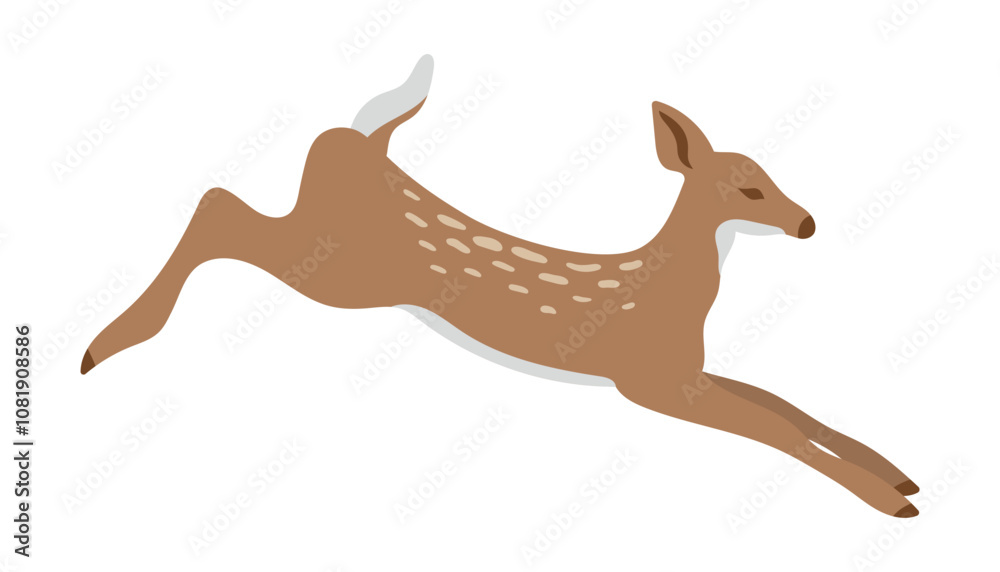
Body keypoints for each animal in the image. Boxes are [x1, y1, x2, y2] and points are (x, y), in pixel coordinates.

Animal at [81, 55, 919, 518]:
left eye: (770, 176)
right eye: (745, 188)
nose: (807, 222)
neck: (668, 295)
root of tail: (355, 140)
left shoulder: (686, 371)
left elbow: (790, 408)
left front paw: (901, 475)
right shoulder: (648, 382)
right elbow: (775, 427)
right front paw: (889, 503)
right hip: (339, 272)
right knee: (218, 204)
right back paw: (106, 344)